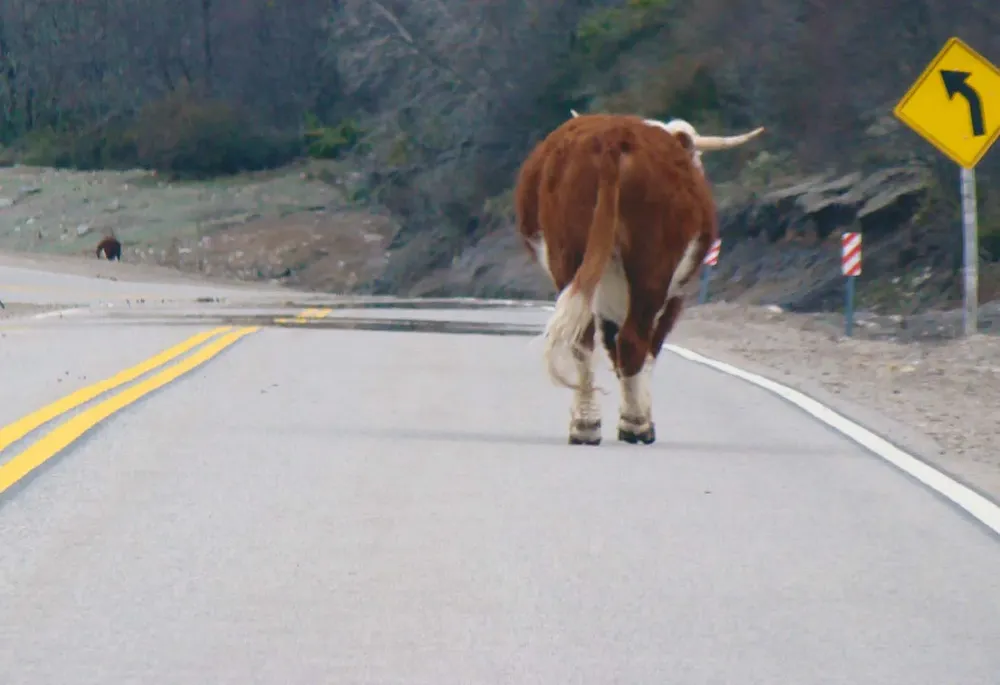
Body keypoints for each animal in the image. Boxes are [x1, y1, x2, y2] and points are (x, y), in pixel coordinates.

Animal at [515, 112, 764, 446]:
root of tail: (614, 135)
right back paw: (636, 425)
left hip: (568, 256)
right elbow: (649, 350)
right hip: (653, 266)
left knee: (583, 338)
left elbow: (611, 346)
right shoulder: (676, 296)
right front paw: (639, 415)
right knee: (634, 341)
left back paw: (585, 424)